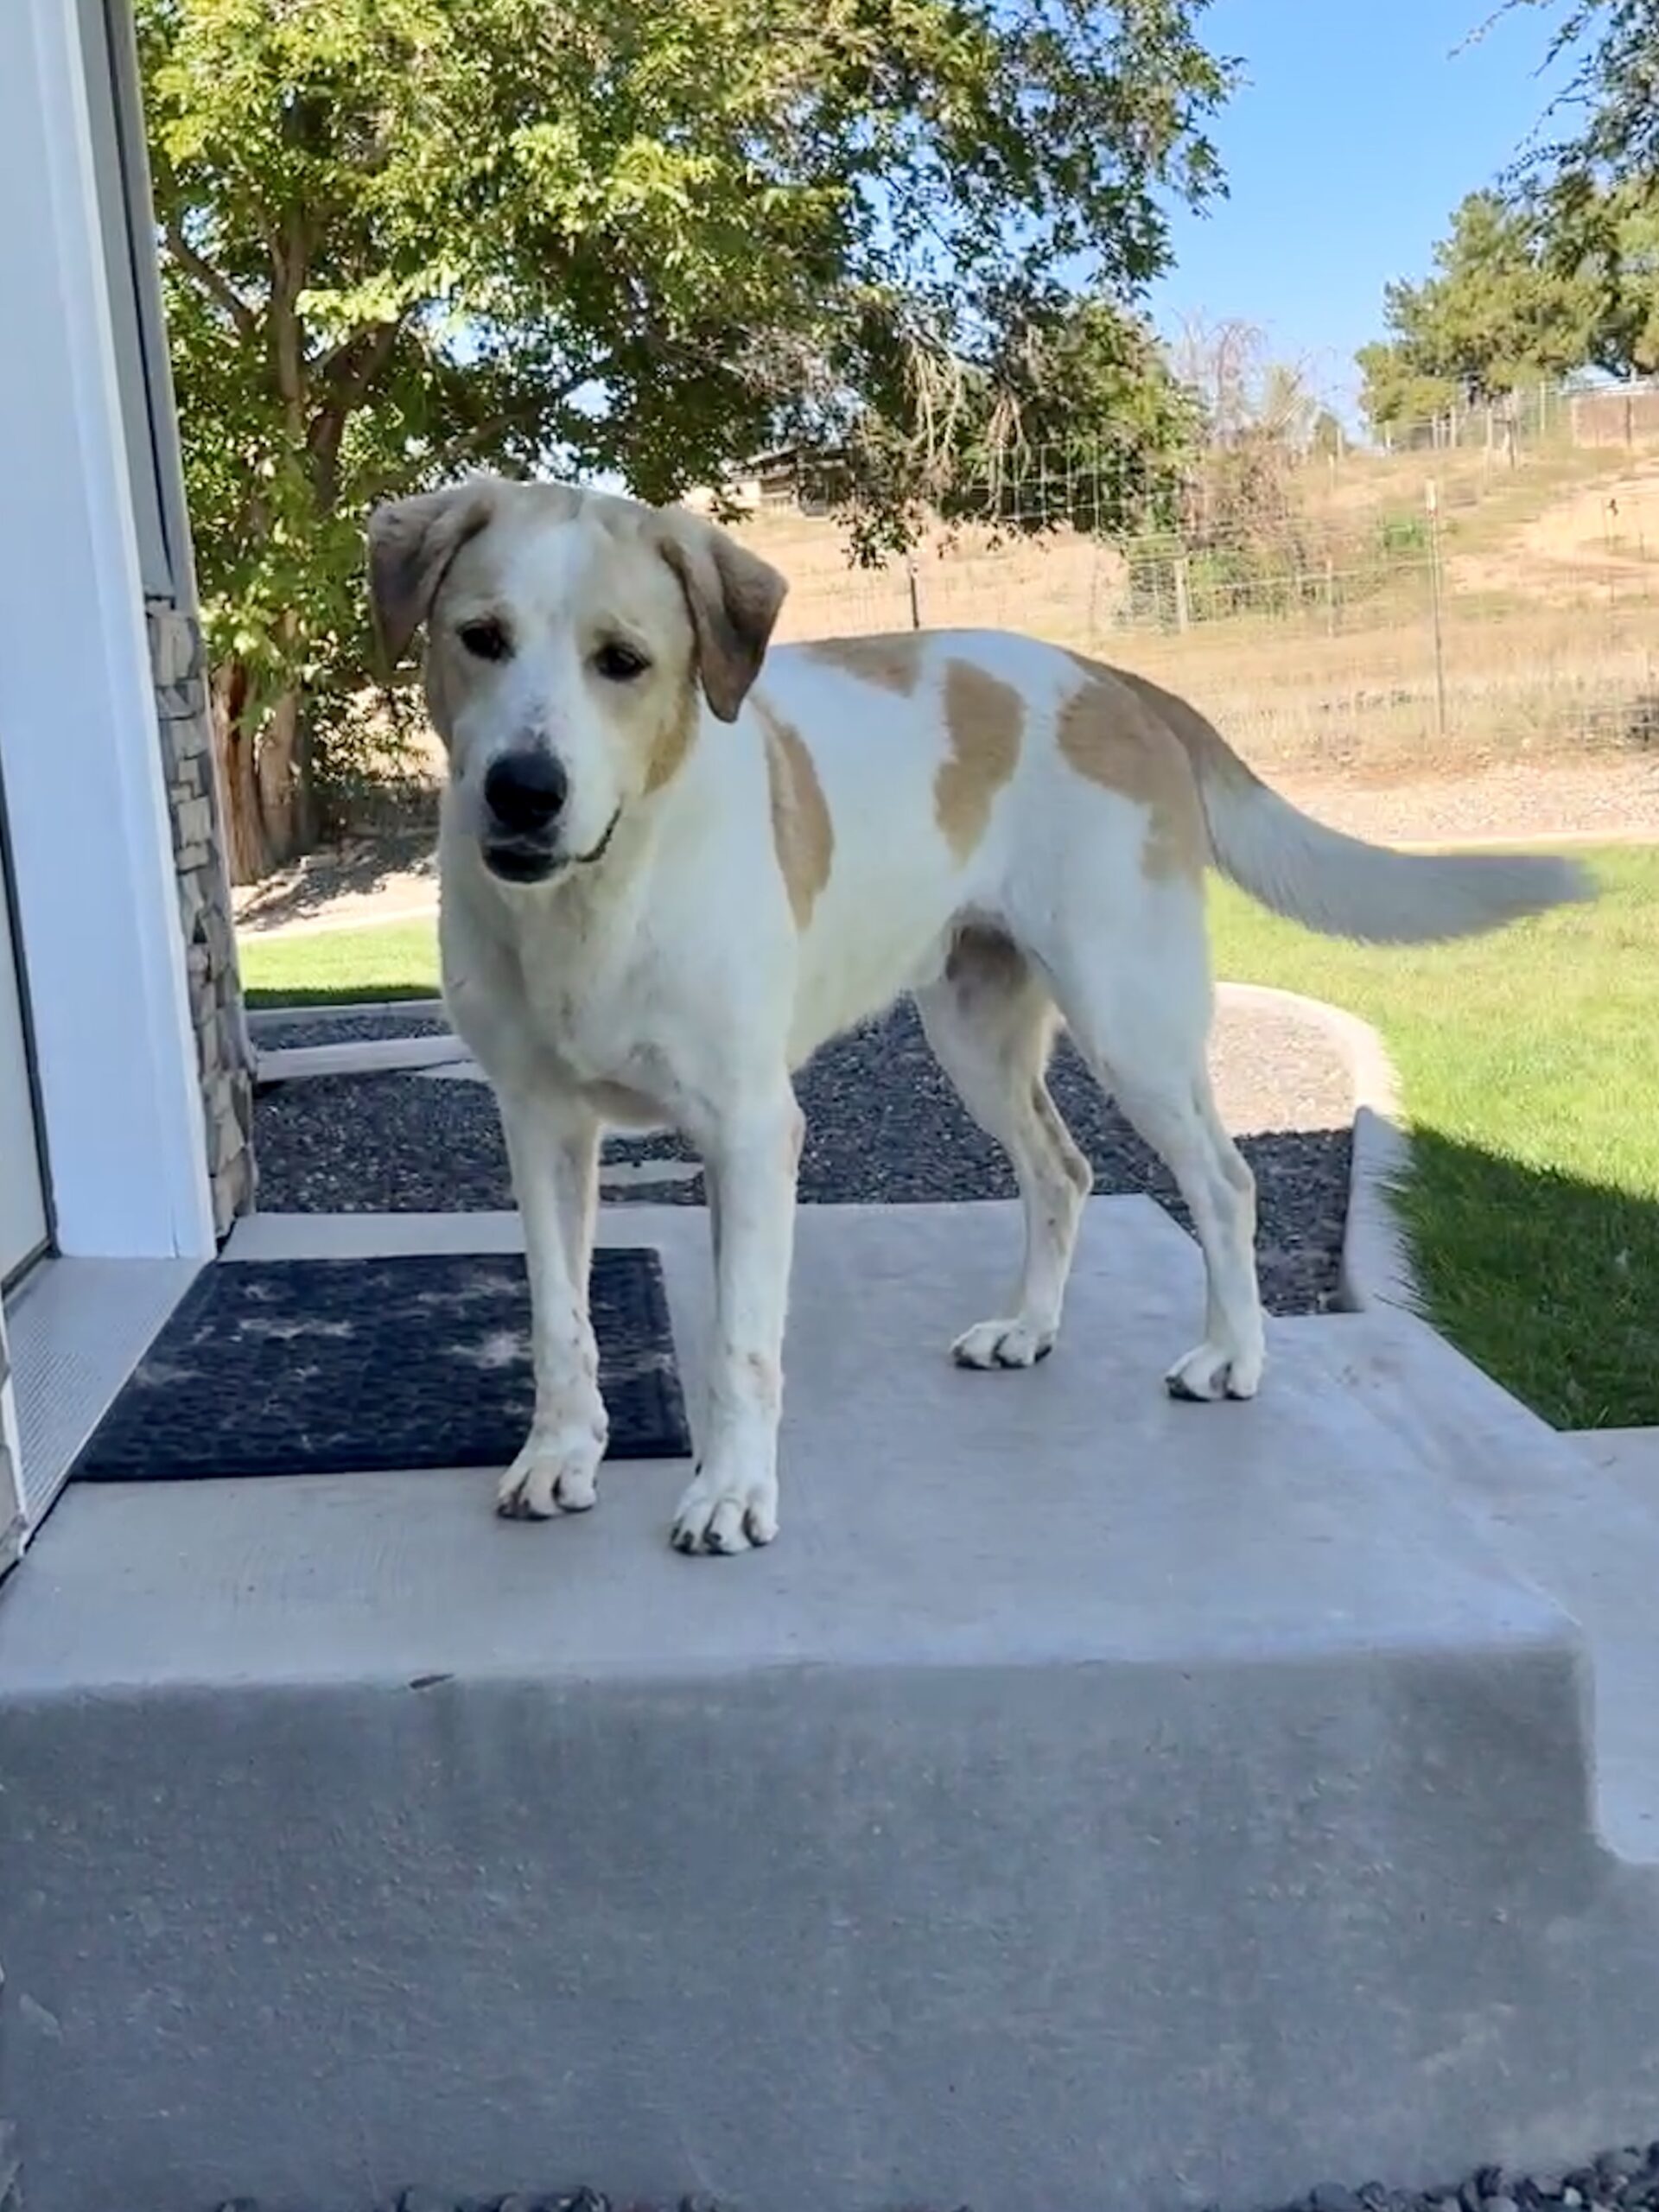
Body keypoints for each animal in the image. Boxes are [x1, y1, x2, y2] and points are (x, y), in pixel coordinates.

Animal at [373, 475, 1601, 1557]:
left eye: (623, 662)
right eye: (480, 636)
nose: (523, 790)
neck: (595, 896)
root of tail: (1114, 680)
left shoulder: (750, 1131)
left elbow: (740, 1344)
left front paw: (730, 1494)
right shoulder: (541, 1126)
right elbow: (559, 1321)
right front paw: (561, 1455)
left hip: (1131, 1017)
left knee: (1224, 1180)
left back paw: (1231, 1356)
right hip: (974, 1033)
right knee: (1063, 1169)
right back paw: (1030, 1330)